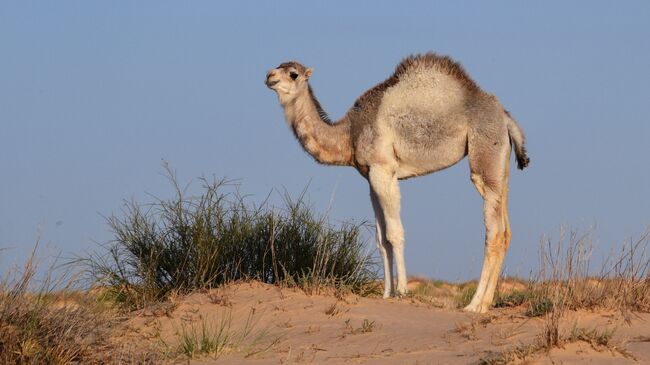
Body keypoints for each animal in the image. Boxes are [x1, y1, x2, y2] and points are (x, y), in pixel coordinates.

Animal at [264, 52, 528, 312]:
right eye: (277, 66)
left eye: (293, 73)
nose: (269, 76)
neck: (349, 134)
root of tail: (506, 118)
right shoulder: (370, 177)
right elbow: (381, 240)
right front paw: (386, 294)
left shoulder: (383, 170)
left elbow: (394, 233)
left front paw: (401, 291)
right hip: (501, 168)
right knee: (506, 230)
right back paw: (485, 304)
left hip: (484, 156)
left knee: (493, 232)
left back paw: (474, 305)